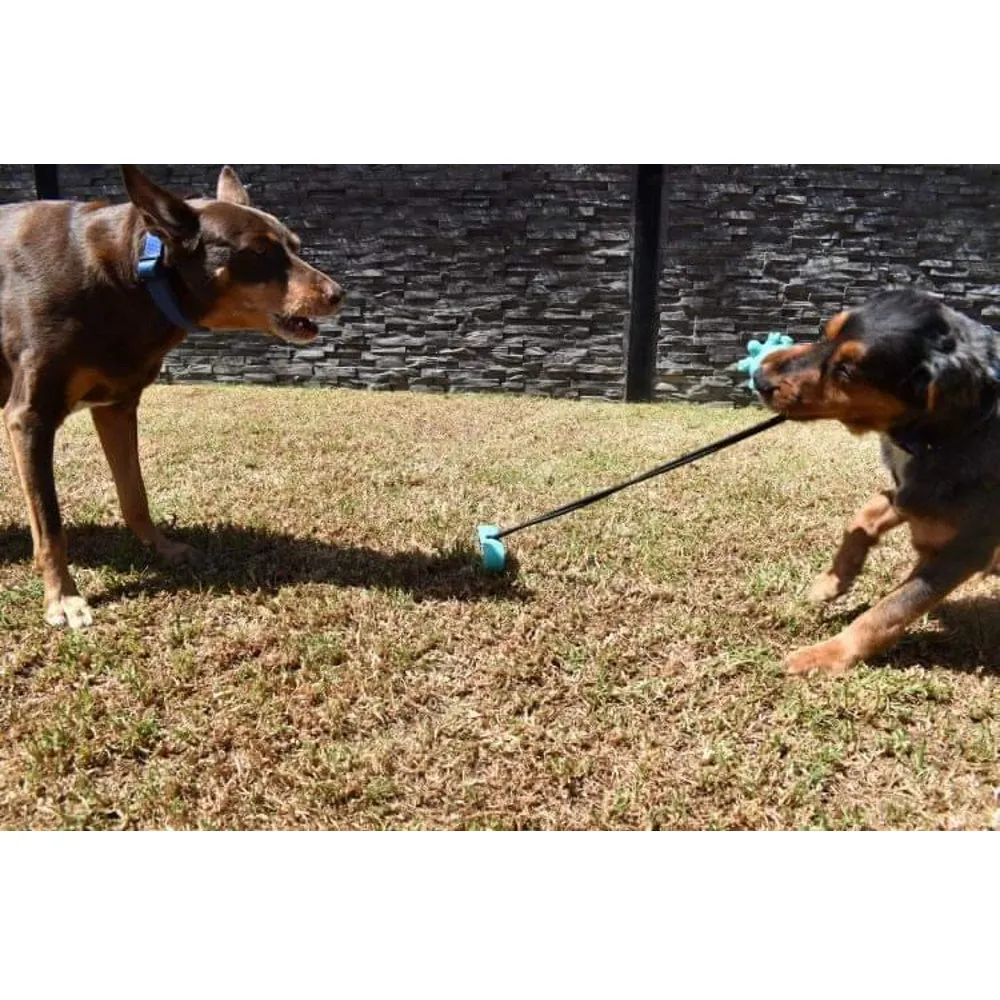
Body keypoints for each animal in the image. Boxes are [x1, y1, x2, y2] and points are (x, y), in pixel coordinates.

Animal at [0, 168, 344, 628]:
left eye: (295, 246)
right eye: (258, 250)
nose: (337, 293)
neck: (135, 276)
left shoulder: (117, 407)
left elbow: (135, 493)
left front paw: (161, 547)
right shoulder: (30, 417)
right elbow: (49, 523)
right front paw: (63, 597)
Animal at [752, 290, 1000, 676]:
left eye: (847, 371)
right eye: (824, 332)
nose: (759, 378)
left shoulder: (965, 549)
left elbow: (890, 609)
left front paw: (827, 654)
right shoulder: (910, 493)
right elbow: (864, 515)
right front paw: (831, 581)